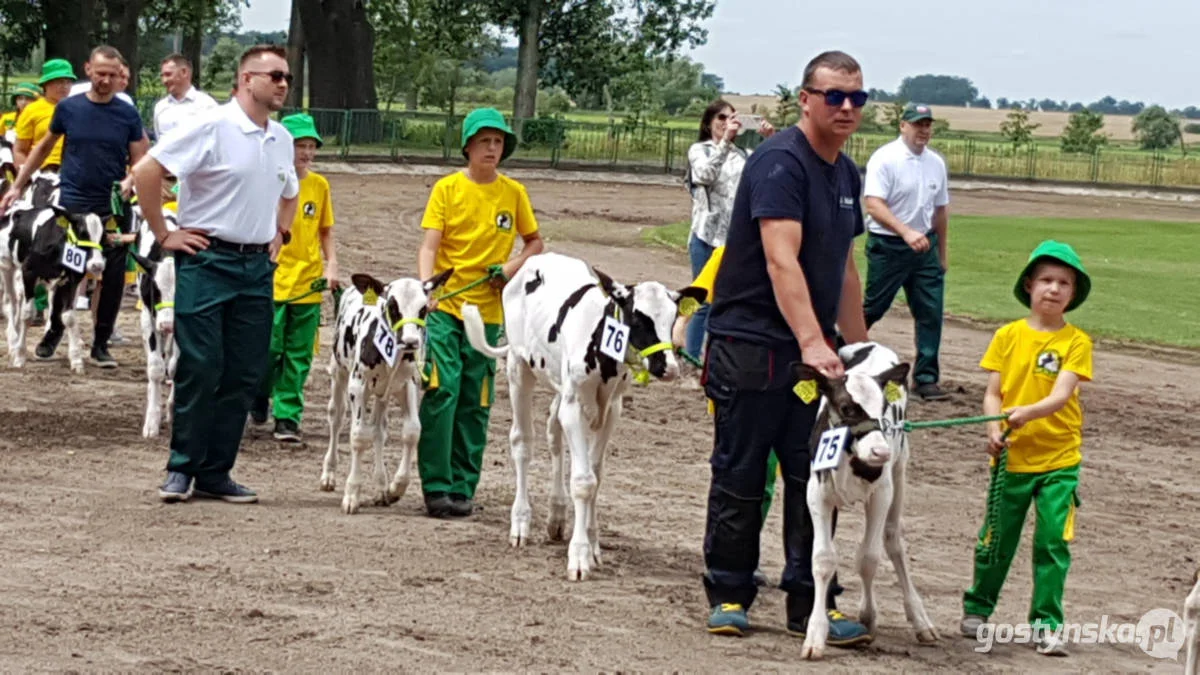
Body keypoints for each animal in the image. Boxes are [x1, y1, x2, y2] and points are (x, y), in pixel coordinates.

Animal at [0, 205, 106, 372]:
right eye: (83, 232)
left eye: (102, 236)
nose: (97, 265)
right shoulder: (28, 272)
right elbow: (27, 314)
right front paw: (19, 357)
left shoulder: (71, 280)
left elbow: (69, 317)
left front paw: (76, 360)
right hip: (7, 268)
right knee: (12, 304)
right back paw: (13, 343)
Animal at [321, 267, 451, 509]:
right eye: (392, 306)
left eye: (423, 308)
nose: (410, 341)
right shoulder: (358, 385)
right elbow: (359, 436)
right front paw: (352, 493)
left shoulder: (408, 384)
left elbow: (412, 431)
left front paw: (396, 487)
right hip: (339, 372)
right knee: (336, 417)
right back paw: (329, 474)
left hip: (383, 393)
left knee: (379, 429)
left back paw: (381, 486)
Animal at [458, 252, 700, 578]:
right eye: (638, 317)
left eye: (672, 318)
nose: (669, 368)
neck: (601, 340)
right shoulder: (574, 408)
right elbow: (584, 481)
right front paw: (580, 555)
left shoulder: (611, 409)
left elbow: (596, 475)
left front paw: (593, 544)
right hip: (518, 369)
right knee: (522, 442)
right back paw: (520, 521)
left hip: (560, 387)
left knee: (553, 432)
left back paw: (557, 514)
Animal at [796, 341, 936, 658]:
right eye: (846, 407)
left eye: (883, 408)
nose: (880, 452)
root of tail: (872, 345)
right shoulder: (817, 493)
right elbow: (822, 559)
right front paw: (815, 635)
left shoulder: (881, 494)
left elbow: (869, 558)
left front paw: (869, 618)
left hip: (900, 470)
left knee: (893, 540)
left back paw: (921, 619)